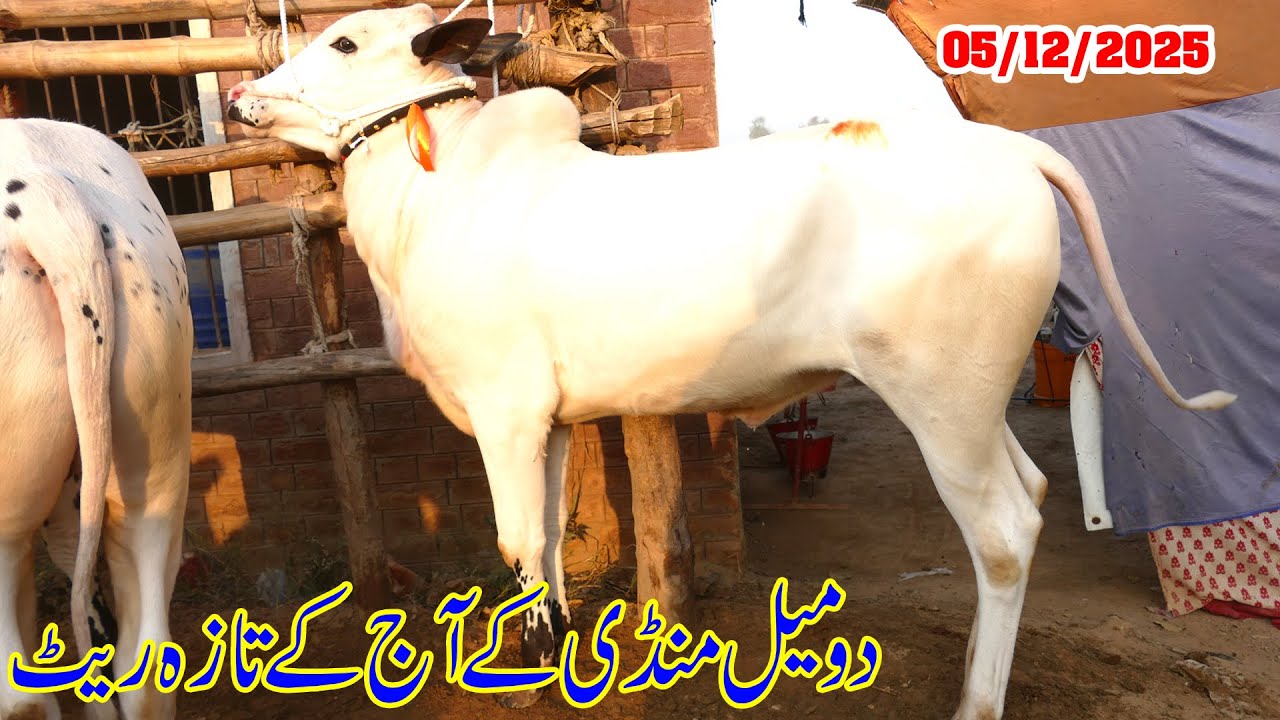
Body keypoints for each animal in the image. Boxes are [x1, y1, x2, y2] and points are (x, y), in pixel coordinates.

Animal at [224, 6, 1236, 718]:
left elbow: (514, 543)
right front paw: (557, 663)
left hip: (942, 402)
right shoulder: (548, 418)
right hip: (979, 406)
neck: (430, 203)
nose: (242, 97)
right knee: (1031, 488)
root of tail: (1010, 150)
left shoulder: (503, 410)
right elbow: (545, 546)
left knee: (1005, 531)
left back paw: (974, 701)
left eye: (345, 41)